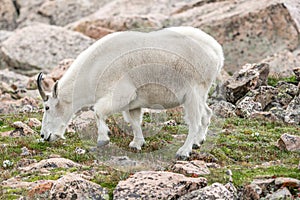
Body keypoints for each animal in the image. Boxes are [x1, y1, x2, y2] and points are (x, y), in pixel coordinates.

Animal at [37, 26, 223, 159]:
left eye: (47, 107)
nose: (44, 136)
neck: (93, 69)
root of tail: (217, 51)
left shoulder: (122, 94)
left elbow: (98, 111)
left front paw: (103, 139)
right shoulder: (134, 103)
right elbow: (134, 121)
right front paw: (137, 143)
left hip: (194, 91)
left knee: (195, 121)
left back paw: (184, 151)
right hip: (200, 93)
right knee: (207, 113)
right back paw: (198, 142)